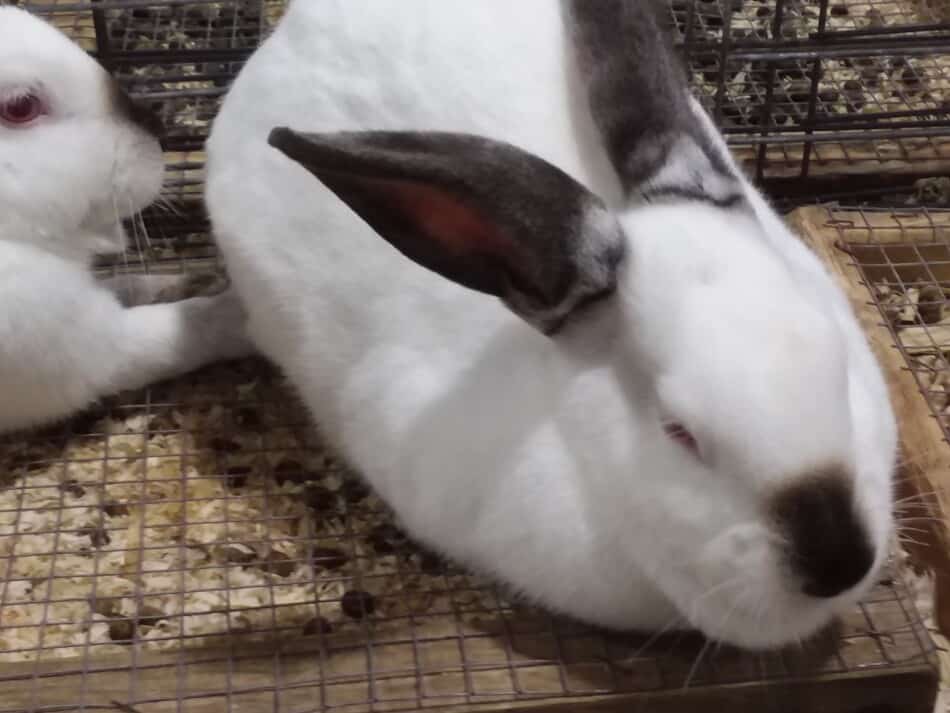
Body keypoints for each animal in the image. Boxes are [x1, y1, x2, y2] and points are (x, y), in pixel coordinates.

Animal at [0, 6, 256, 434]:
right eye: (19, 107)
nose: (157, 128)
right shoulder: (84, 350)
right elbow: (184, 331)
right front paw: (240, 311)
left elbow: (127, 285)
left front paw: (186, 280)